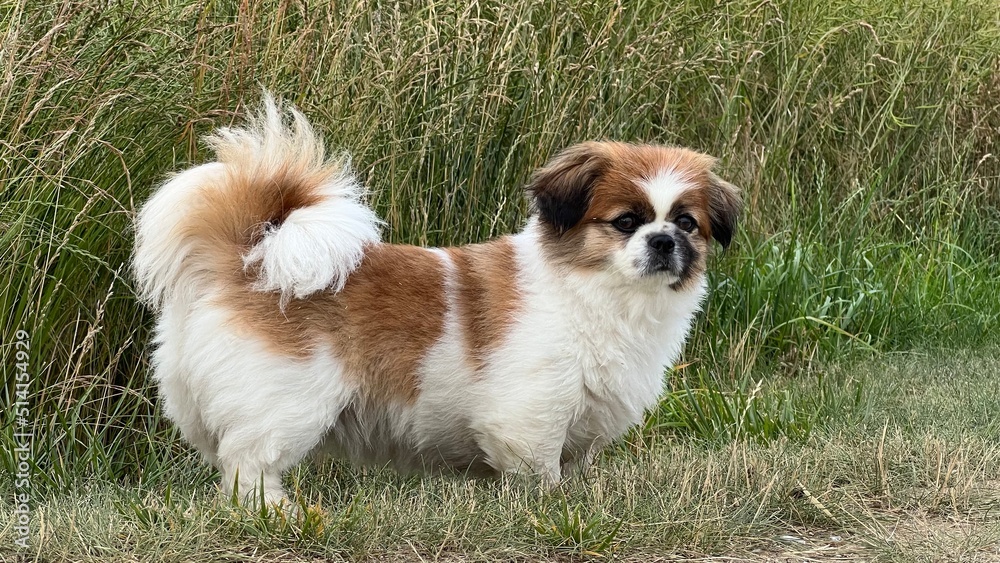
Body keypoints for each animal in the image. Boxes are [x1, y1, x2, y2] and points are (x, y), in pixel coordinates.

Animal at [131, 94, 744, 504]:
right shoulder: (531, 413)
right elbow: (538, 470)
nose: (663, 242)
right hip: (286, 403)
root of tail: (249, 258)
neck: (598, 294)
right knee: (250, 466)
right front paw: (548, 511)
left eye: (686, 224)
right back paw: (278, 514)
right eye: (626, 222)